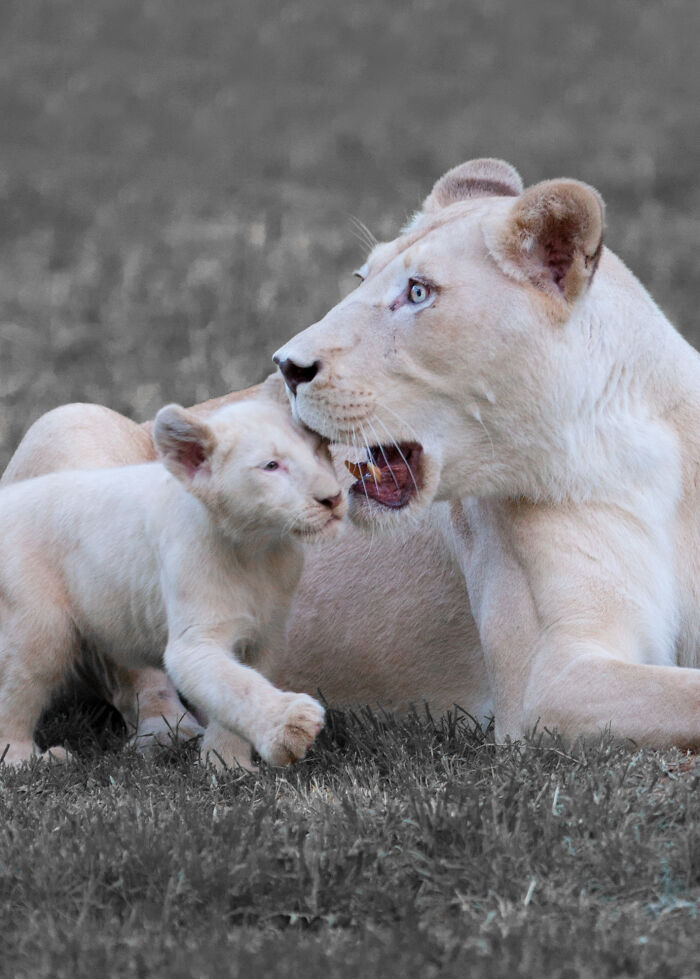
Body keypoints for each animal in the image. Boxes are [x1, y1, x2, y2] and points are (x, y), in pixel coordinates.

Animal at [0, 391, 343, 766]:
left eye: (318, 452)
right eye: (271, 466)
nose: (334, 497)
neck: (257, 549)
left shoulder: (265, 637)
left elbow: (233, 694)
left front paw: (226, 763)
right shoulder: (195, 641)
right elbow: (237, 686)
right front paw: (290, 728)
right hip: (39, 631)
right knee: (15, 696)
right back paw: (29, 761)